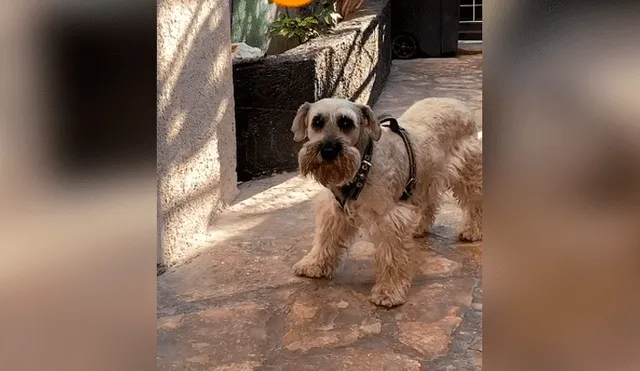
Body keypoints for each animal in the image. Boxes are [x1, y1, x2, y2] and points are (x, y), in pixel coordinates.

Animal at [288, 96, 480, 308]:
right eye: (317, 122)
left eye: (346, 123)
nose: (328, 151)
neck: (364, 164)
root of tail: (457, 102)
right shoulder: (334, 211)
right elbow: (325, 239)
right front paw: (314, 264)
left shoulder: (388, 218)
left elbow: (391, 257)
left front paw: (389, 291)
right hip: (427, 175)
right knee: (429, 202)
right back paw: (419, 227)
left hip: (466, 173)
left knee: (474, 202)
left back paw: (472, 230)